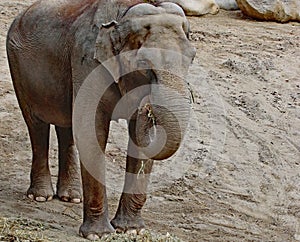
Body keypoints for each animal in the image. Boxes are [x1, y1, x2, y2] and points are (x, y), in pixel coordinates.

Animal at [6, 0, 197, 239]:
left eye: (192, 58)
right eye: (144, 63)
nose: (147, 107)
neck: (124, 14)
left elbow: (138, 141)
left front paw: (131, 230)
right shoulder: (88, 63)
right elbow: (91, 132)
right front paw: (99, 235)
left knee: (66, 126)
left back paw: (71, 197)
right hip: (18, 67)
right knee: (36, 125)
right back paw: (41, 196)